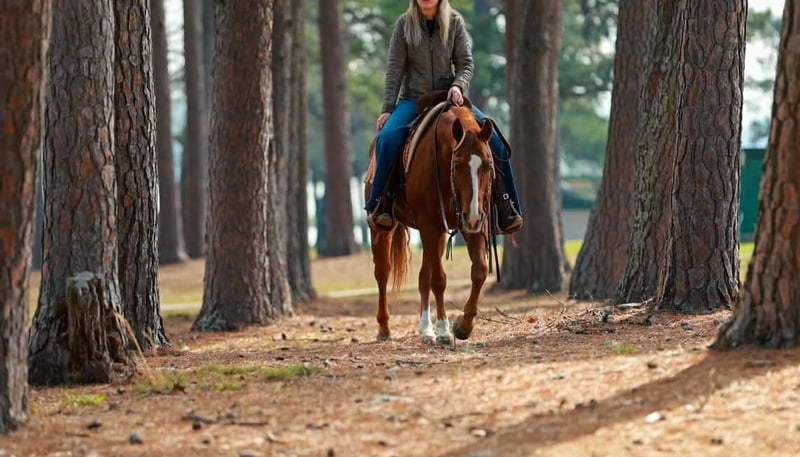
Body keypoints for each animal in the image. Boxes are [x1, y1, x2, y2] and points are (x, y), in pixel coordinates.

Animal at [365, 101, 496, 344]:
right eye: (457, 165)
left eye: (489, 165)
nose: (473, 216)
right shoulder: (430, 223)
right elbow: (439, 280)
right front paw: (444, 330)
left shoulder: (470, 222)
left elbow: (480, 271)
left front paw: (463, 326)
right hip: (383, 229)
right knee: (382, 273)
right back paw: (385, 328)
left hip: (440, 233)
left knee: (423, 276)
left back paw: (426, 329)